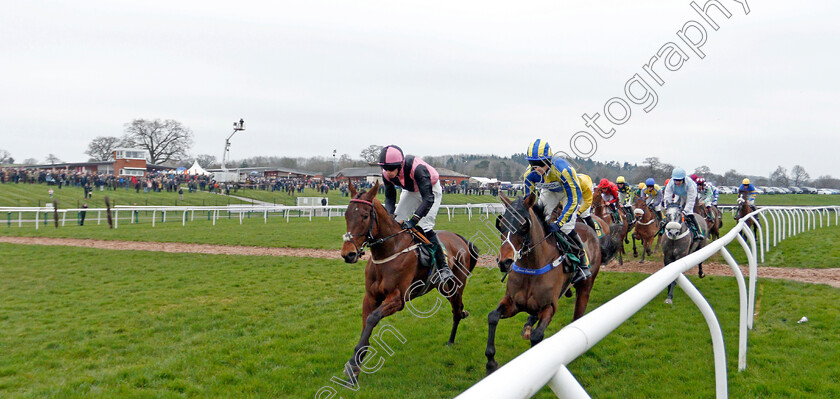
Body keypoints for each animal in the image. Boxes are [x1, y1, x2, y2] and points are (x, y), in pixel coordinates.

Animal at [338, 181, 476, 384]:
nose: (348, 254)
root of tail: (459, 237)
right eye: (347, 214)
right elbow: (365, 324)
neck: (388, 251)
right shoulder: (370, 297)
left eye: (364, 215)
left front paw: (353, 365)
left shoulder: (398, 299)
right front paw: (354, 368)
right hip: (444, 288)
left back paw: (451, 341)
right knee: (457, 309)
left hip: (455, 285)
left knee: (457, 311)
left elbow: (372, 318)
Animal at [482, 194, 600, 376]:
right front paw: (491, 361)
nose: (505, 262)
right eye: (501, 224)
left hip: (586, 286)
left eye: (523, 225)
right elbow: (493, 316)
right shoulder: (512, 302)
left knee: (578, 314)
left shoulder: (549, 306)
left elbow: (537, 336)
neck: (531, 267)